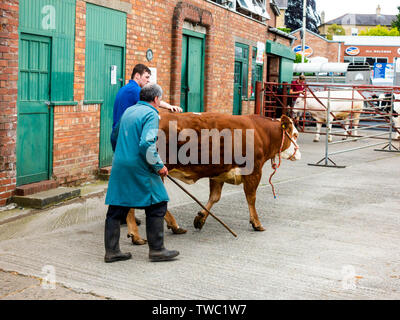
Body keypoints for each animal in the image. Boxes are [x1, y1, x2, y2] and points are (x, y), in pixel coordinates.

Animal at [125, 111, 300, 244]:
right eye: (296, 135)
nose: (299, 153)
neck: (260, 132)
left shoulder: (218, 173)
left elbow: (214, 197)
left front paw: (200, 218)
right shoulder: (254, 171)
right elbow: (251, 198)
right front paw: (256, 223)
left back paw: (171, 227)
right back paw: (138, 235)